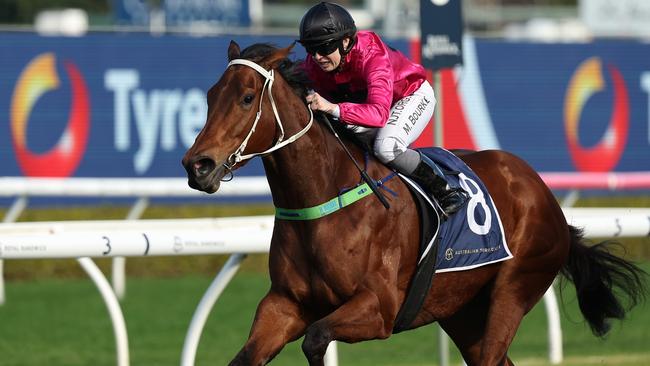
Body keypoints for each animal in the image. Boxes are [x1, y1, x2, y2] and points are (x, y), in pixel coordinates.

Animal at [181, 41, 644, 364]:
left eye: (246, 98)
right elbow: (248, 355)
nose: (197, 165)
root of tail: (542, 192)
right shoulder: (285, 304)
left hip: (514, 289)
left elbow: (316, 340)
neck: (324, 199)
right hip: (462, 310)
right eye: (209, 96)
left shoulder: (379, 309)